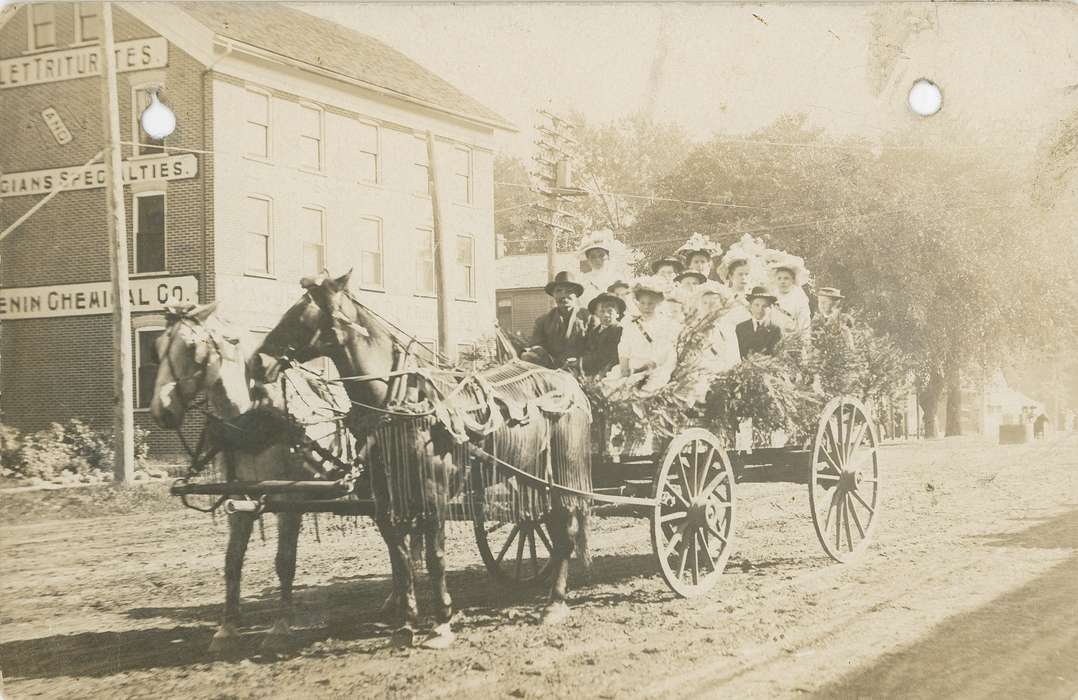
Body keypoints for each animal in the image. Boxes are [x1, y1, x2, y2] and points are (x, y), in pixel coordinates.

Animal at [256, 271, 595, 642]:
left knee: (567, 530)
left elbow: (434, 556)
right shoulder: (386, 498)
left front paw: (442, 621)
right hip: (534, 474)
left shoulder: (433, 493)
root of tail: (566, 378)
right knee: (551, 527)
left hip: (564, 472)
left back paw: (554, 603)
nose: (259, 362)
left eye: (302, 316)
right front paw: (405, 622)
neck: (401, 404)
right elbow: (401, 557)